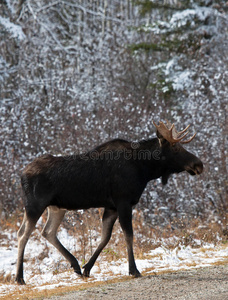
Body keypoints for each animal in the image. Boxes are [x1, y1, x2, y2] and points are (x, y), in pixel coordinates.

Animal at [15, 120, 203, 284]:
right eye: (176, 147)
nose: (199, 164)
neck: (145, 169)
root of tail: (21, 174)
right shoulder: (123, 201)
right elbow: (128, 235)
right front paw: (133, 270)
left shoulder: (111, 206)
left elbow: (105, 237)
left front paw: (87, 268)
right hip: (34, 205)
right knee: (23, 234)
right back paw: (19, 278)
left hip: (57, 207)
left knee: (47, 231)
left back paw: (75, 265)